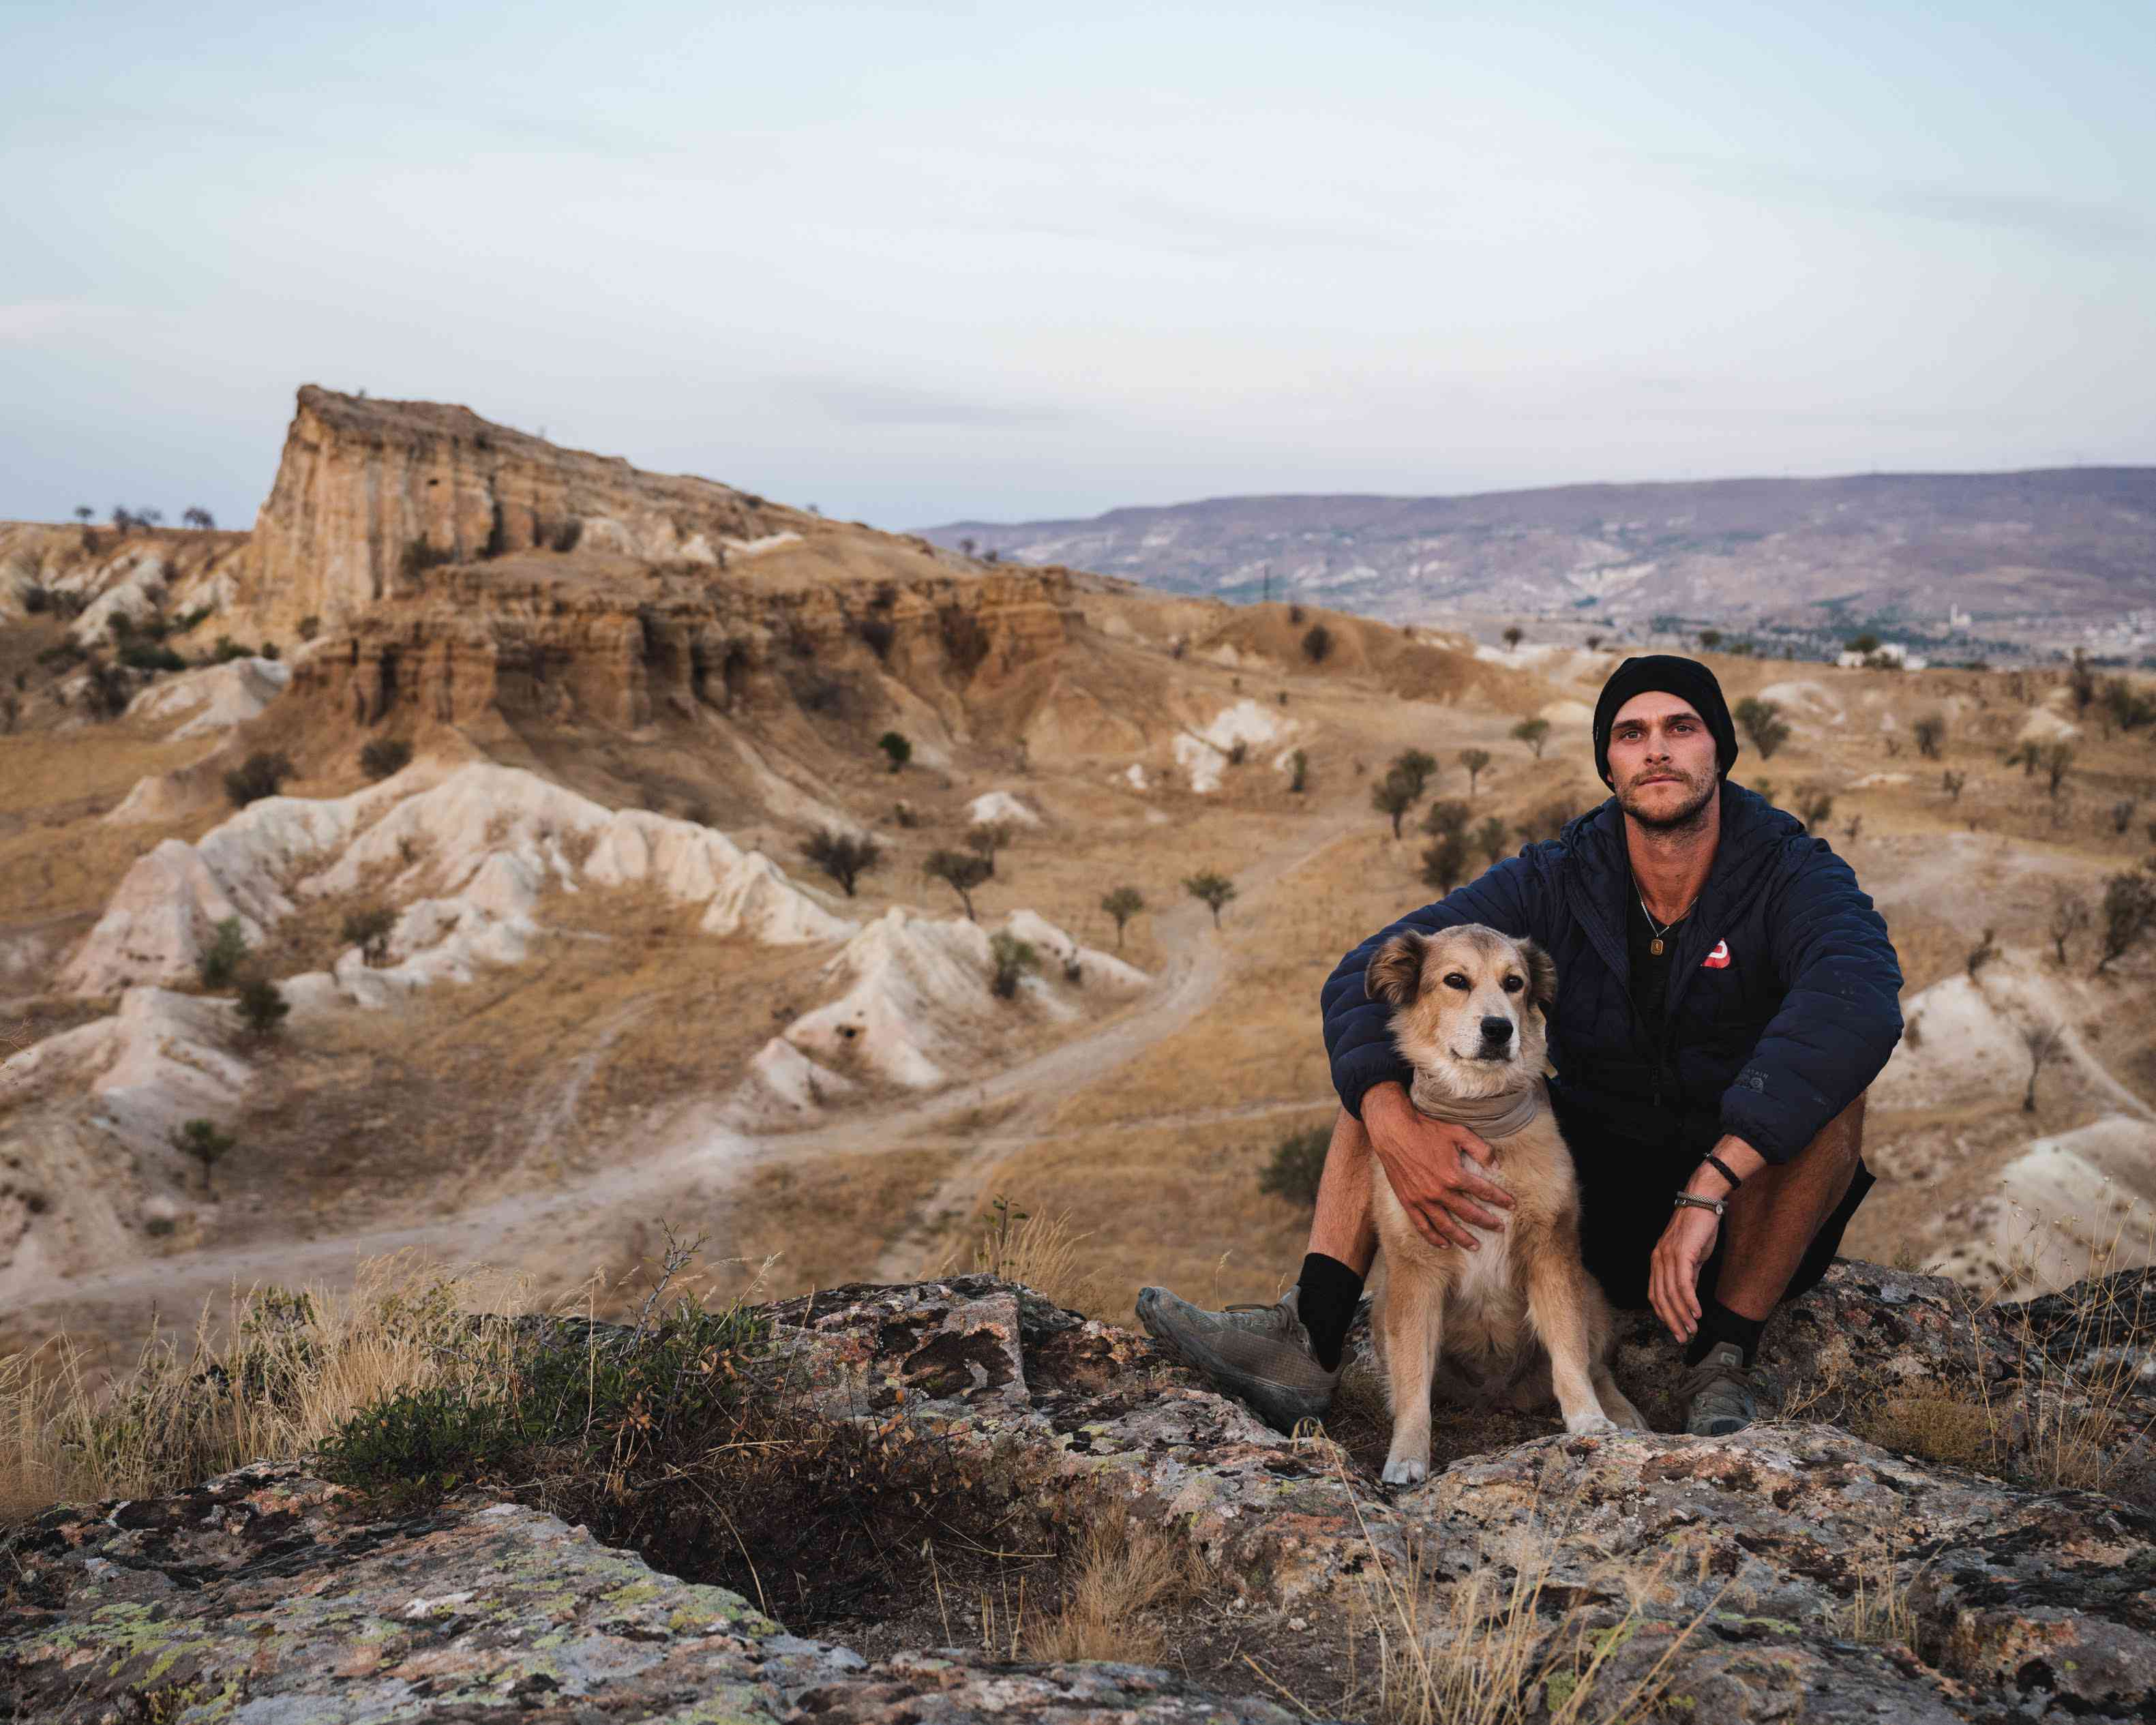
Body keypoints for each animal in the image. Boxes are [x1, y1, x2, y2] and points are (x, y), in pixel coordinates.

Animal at [1353, 931, 1638, 1483]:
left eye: (1514, 983)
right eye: (1455, 980)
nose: (1498, 1029)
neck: (1479, 1121)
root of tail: (1499, 1397)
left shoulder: (1551, 1251)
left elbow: (1569, 1351)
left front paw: (1588, 1420)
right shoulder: (1415, 1271)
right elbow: (1412, 1380)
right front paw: (1408, 1455)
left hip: (1590, 1290)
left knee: (1596, 1363)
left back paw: (1619, 1412)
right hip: (1383, 1309)